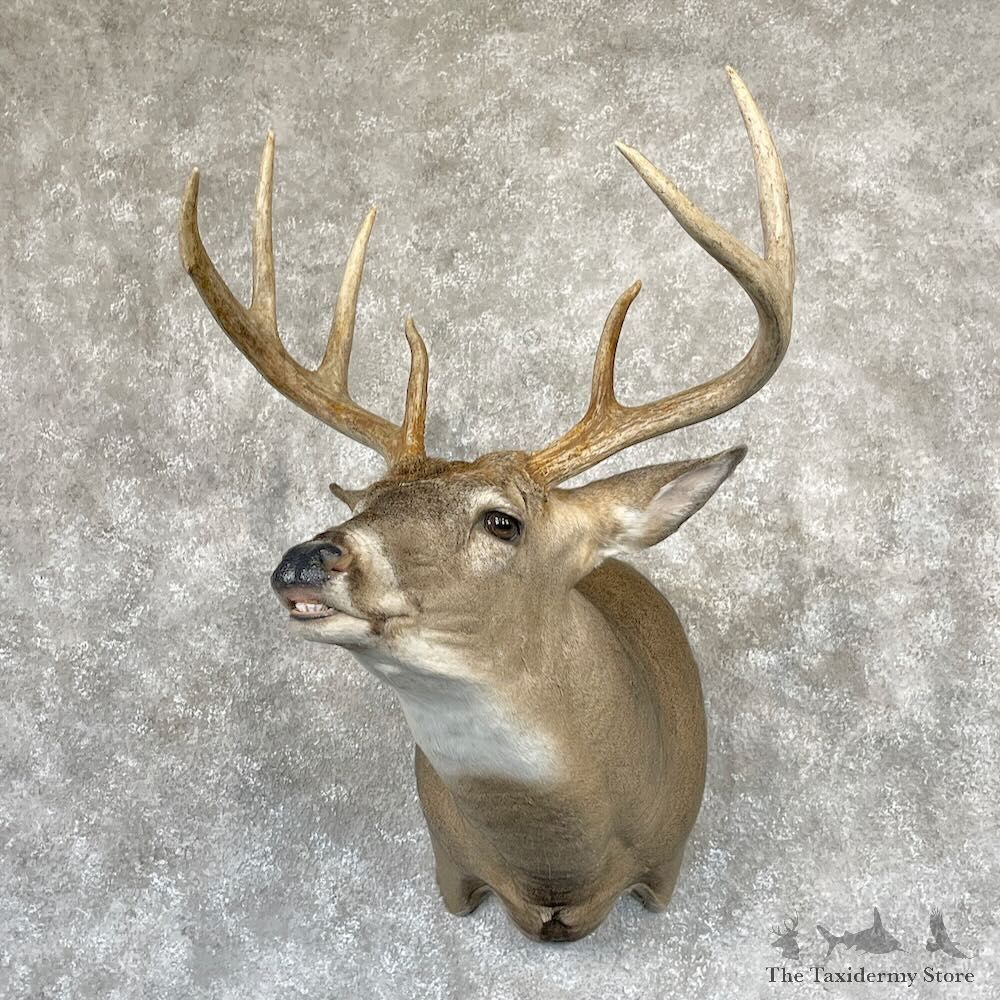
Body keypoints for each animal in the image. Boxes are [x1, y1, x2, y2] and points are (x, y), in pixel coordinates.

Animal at [178, 66, 793, 943]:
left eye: (503, 519)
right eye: (367, 499)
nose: (307, 558)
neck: (558, 871)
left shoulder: (665, 869)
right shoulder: (451, 869)